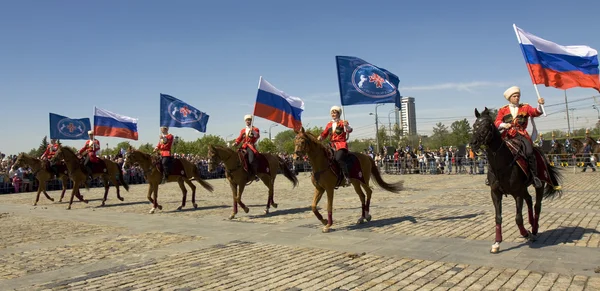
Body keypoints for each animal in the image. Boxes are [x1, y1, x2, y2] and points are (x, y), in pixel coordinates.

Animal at [474, 108, 564, 254]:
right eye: (474, 125)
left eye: (486, 125)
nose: (473, 143)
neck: (501, 164)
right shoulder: (495, 193)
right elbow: (498, 217)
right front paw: (497, 243)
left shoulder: (517, 193)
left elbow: (518, 218)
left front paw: (526, 233)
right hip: (523, 189)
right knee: (529, 200)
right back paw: (531, 223)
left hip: (538, 185)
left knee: (537, 206)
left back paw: (534, 230)